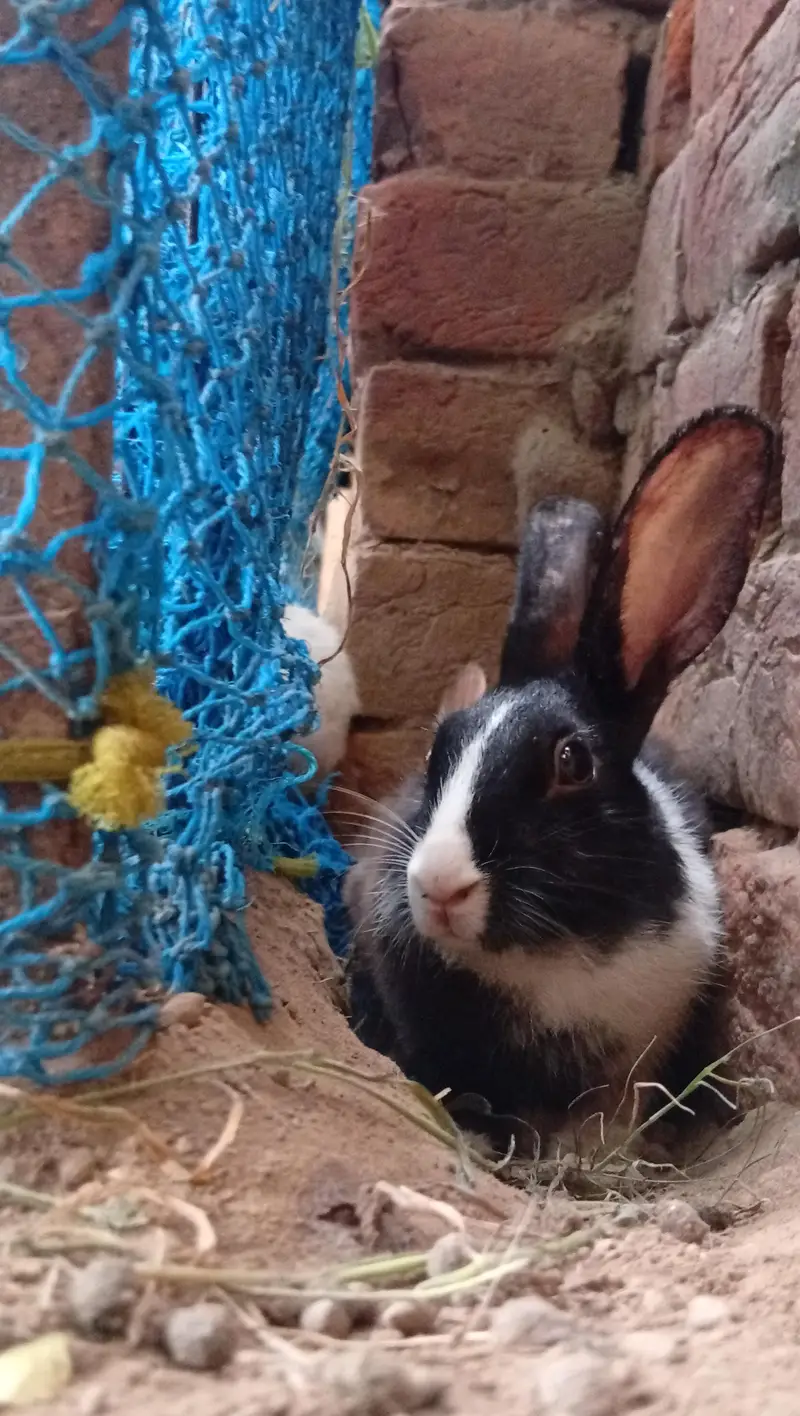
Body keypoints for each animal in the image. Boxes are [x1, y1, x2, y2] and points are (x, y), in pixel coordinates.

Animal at [345, 406, 777, 1154]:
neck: (548, 958)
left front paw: (595, 1149)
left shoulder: (641, 1053)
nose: (438, 886)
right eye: (438, 749)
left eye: (572, 762)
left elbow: (615, 1107)